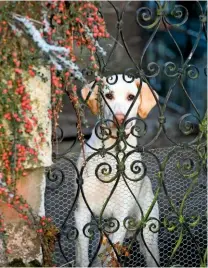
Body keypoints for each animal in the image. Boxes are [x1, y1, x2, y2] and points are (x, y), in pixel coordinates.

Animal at [75, 74, 159, 266]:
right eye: (109, 95)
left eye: (131, 97)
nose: (119, 118)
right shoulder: (82, 213)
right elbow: (83, 258)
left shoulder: (121, 216)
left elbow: (111, 258)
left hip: (148, 236)